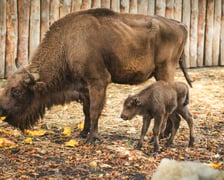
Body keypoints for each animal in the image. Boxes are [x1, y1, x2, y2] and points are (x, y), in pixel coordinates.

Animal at [0, 8, 192, 143]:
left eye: (16, 91)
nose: (2, 110)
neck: (67, 45)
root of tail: (180, 25)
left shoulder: (98, 82)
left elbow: (94, 110)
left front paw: (92, 139)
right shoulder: (84, 88)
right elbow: (86, 111)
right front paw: (83, 133)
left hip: (164, 71)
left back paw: (164, 135)